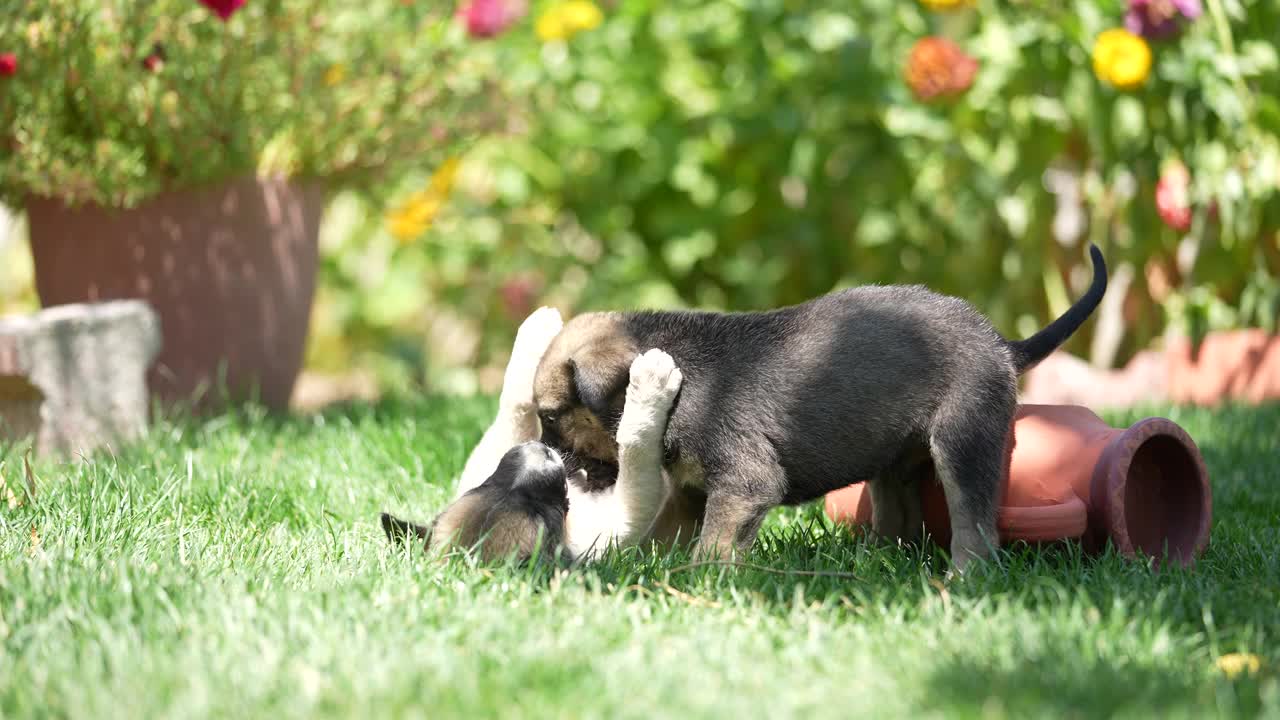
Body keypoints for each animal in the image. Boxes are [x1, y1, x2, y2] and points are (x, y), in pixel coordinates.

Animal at [381, 308, 691, 561]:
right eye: (537, 512)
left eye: (483, 486)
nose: (539, 450)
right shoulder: (622, 515)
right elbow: (634, 442)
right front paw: (651, 383)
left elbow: (513, 406)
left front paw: (538, 326)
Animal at [535, 244, 1105, 566]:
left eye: (549, 416)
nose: (553, 462)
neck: (682, 380)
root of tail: (1003, 346)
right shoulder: (694, 491)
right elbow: (670, 535)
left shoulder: (742, 484)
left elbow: (713, 546)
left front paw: (702, 582)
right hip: (894, 462)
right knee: (901, 519)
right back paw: (877, 563)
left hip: (963, 443)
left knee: (975, 526)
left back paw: (961, 580)